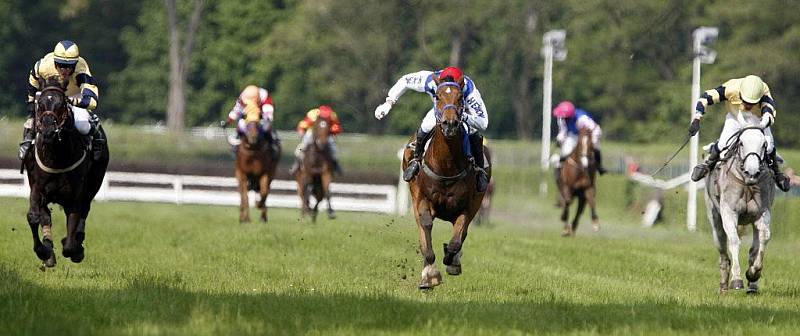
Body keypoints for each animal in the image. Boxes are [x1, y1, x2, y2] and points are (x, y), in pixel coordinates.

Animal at [21, 77, 109, 270]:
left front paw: (74, 248)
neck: (57, 157)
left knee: (85, 210)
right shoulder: (38, 188)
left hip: (94, 183)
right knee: (46, 217)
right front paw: (44, 251)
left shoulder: (75, 197)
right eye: (40, 104)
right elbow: (34, 217)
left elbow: (70, 239)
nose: (47, 131)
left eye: (61, 104)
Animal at [404, 75, 490, 288]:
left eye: (460, 98)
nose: (449, 123)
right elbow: (426, 225)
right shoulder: (421, 197)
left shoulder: (468, 205)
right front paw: (430, 273)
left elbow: (457, 239)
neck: (446, 165)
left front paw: (451, 259)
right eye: (437, 96)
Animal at [708, 119, 776, 294]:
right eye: (741, 143)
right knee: (723, 251)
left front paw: (753, 273)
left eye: (764, 144)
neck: (747, 184)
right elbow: (734, 240)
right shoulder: (728, 212)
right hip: (715, 219)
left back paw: (753, 286)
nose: (752, 172)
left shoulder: (762, 212)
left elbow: (764, 238)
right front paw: (736, 279)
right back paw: (724, 285)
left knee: (754, 247)